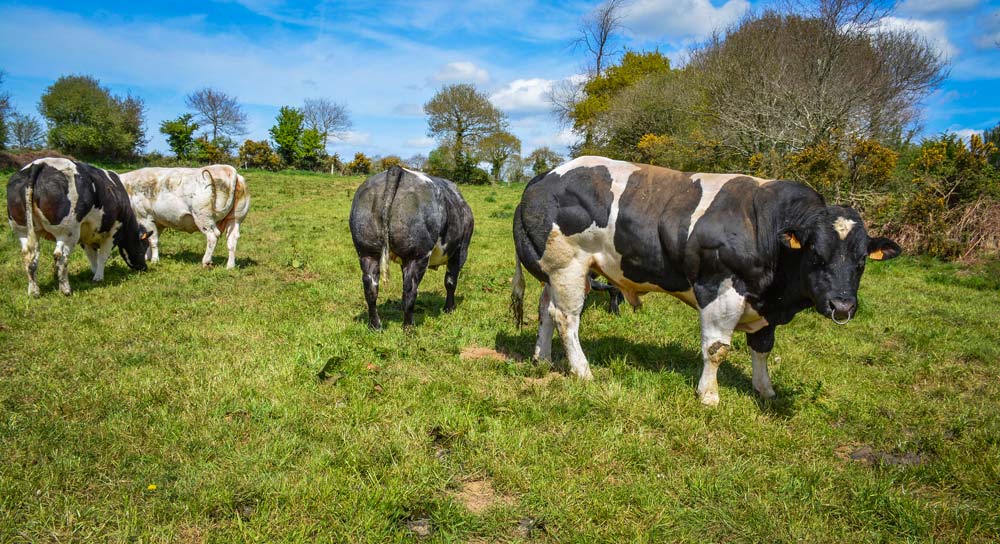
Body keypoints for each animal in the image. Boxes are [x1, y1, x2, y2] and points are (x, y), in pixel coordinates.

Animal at [6, 156, 148, 298]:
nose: (145, 268)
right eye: (143, 250)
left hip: (23, 231)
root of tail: (39, 164)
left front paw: (94, 273)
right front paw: (99, 277)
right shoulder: (113, 232)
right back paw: (65, 289)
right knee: (60, 256)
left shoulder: (85, 237)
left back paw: (34, 291)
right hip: (67, 231)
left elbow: (92, 257)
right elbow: (102, 256)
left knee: (29, 256)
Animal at [119, 165, 250, 268]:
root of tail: (227, 169)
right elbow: (150, 239)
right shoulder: (158, 221)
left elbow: (153, 241)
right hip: (235, 219)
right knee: (232, 239)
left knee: (213, 236)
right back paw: (230, 266)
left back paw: (206, 261)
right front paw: (148, 257)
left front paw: (155, 260)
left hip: (203, 217)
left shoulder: (145, 216)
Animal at [350, 164, 474, 330]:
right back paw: (408, 327)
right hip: (417, 255)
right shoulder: (459, 251)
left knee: (371, 288)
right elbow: (450, 281)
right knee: (410, 289)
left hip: (366, 252)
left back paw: (376, 326)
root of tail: (397, 169)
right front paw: (449, 309)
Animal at [512, 155, 904, 406]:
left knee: (545, 310)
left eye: (861, 262)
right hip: (568, 266)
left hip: (557, 272)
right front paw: (709, 395)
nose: (843, 305)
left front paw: (765, 390)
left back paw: (542, 358)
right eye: (816, 255)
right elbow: (717, 349)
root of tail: (545, 175)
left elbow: (763, 347)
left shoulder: (763, 302)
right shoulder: (721, 288)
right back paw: (582, 371)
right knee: (566, 319)